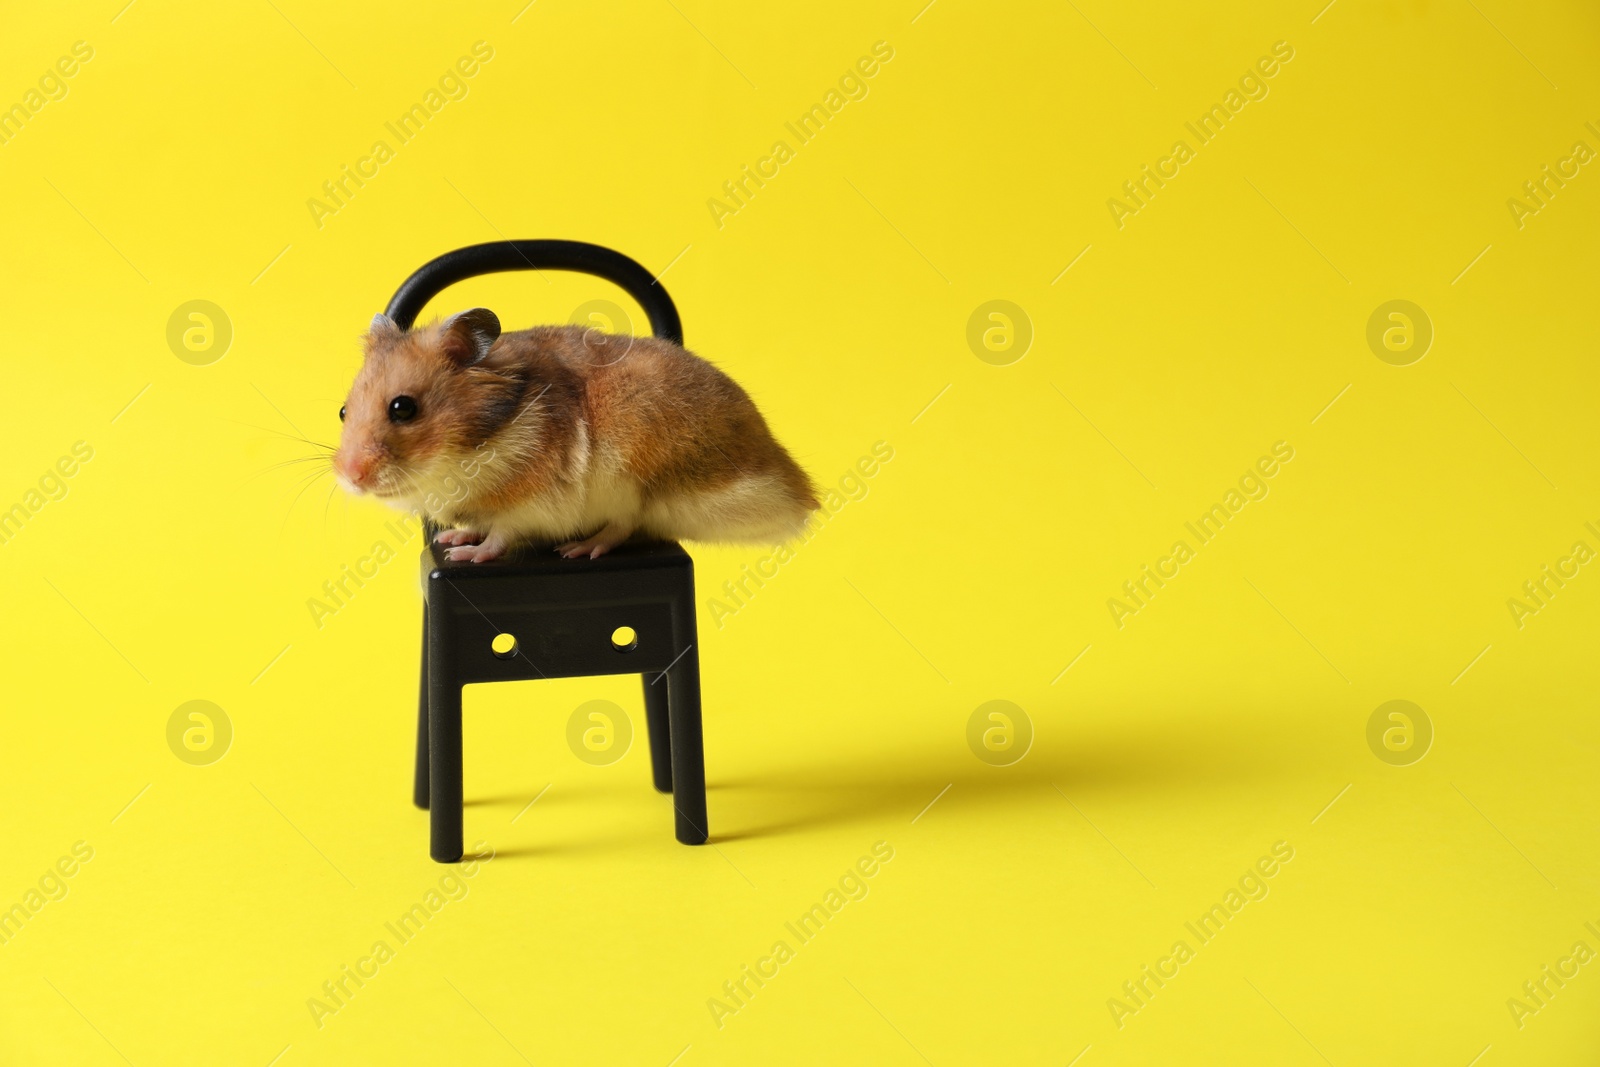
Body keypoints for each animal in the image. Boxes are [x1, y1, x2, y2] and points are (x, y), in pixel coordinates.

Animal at [331, 308, 819, 563]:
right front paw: (450, 541)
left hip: (630, 479)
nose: (350, 477)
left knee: (623, 525)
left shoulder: (531, 503)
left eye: (403, 408)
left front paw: (465, 556)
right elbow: (477, 524)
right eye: (342, 411)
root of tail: (794, 490)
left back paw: (579, 549)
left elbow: (501, 534)